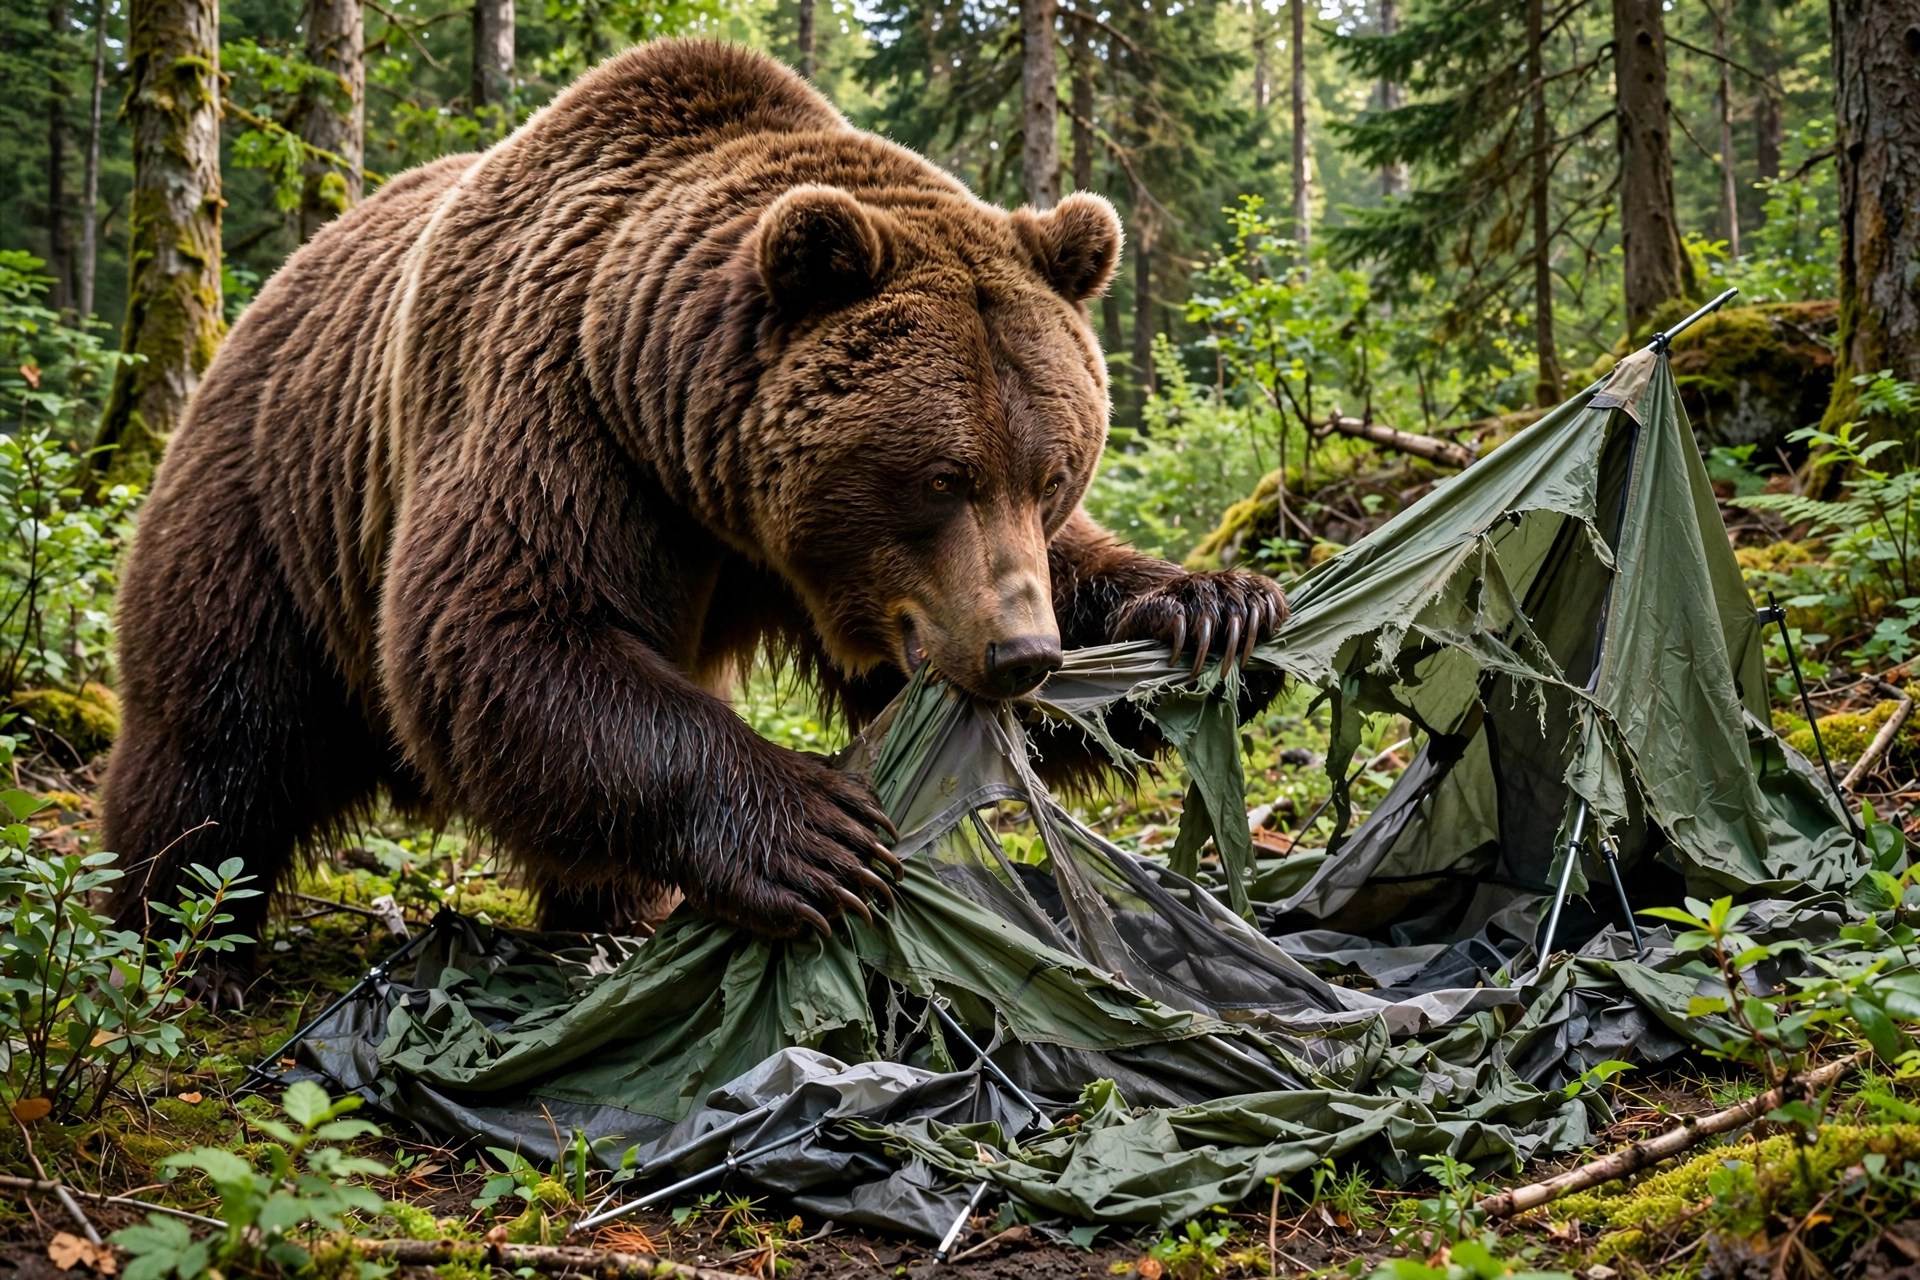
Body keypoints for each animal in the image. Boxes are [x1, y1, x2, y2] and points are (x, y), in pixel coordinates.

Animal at [101, 39, 1287, 994]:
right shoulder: (563, 421)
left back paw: (615, 916)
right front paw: (816, 831)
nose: (1018, 653)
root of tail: (265, 292)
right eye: (941, 478)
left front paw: (1220, 612)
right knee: (219, 739)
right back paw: (185, 940)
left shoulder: (825, 570)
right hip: (270, 507)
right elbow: (503, 628)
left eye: (1051, 474)